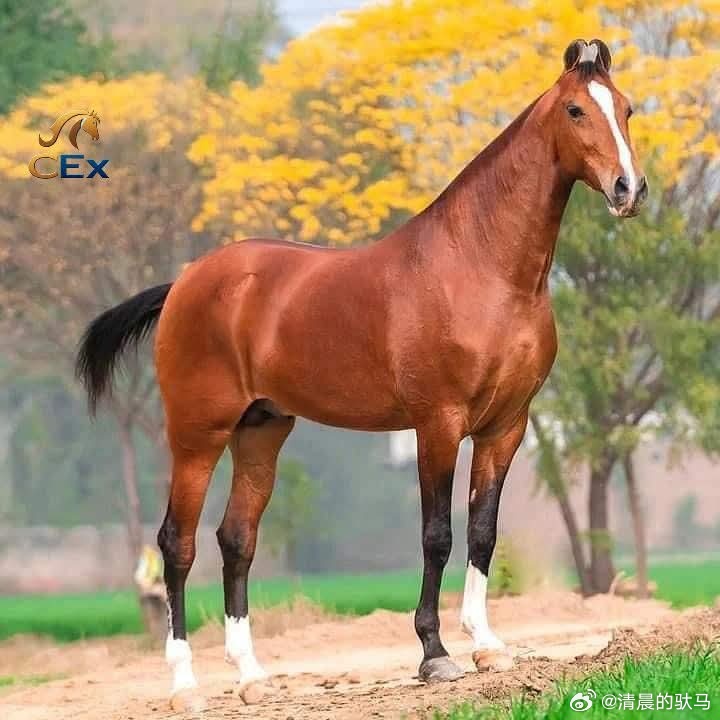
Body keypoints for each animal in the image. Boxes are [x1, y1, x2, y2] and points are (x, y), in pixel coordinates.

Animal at [76, 39, 647, 708]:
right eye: (577, 110)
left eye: (628, 108)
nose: (628, 188)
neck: (480, 267)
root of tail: (186, 282)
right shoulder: (437, 424)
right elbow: (437, 535)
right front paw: (434, 654)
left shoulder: (506, 426)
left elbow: (482, 531)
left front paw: (487, 646)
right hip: (198, 435)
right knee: (177, 544)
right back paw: (186, 686)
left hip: (260, 432)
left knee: (236, 540)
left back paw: (252, 678)